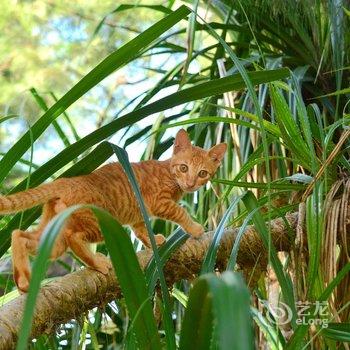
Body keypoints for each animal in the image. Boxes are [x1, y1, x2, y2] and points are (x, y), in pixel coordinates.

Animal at [0, 130, 227, 292]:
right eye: (183, 168)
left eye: (203, 173)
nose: (191, 184)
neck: (168, 172)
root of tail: (65, 180)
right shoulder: (160, 202)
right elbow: (180, 213)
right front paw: (195, 229)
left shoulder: (139, 215)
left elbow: (140, 231)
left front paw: (154, 241)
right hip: (98, 222)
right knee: (74, 237)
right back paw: (97, 263)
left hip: (54, 237)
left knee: (19, 235)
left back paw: (23, 280)